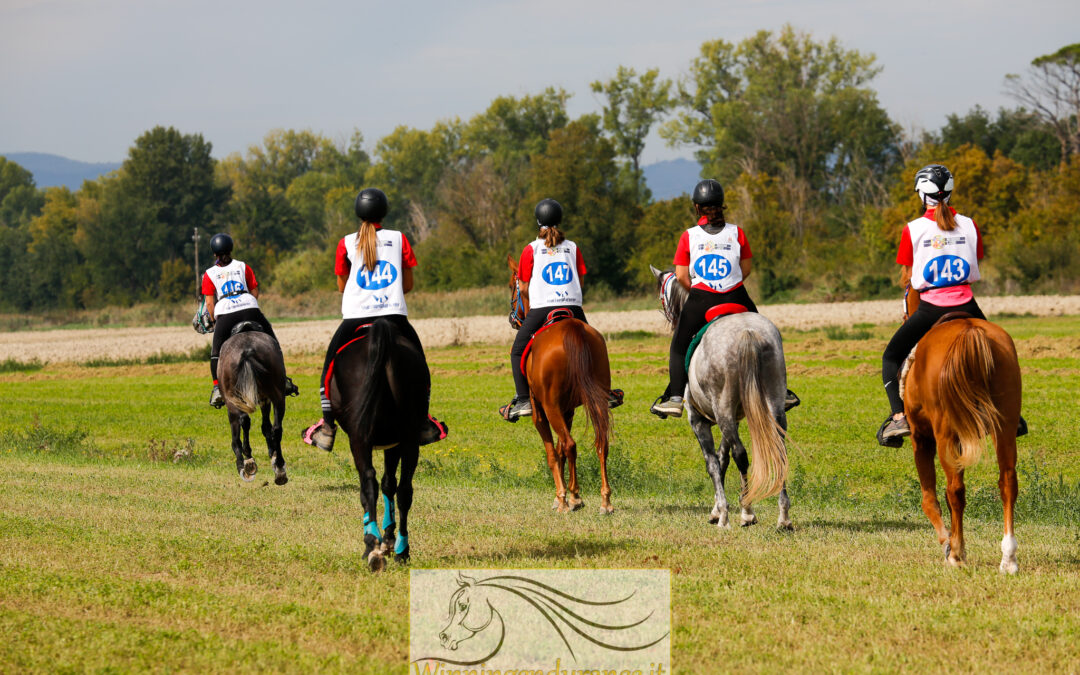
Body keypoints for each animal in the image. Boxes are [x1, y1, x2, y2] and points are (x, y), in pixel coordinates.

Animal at [216, 326, 287, 483]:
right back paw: (279, 468)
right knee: (277, 428)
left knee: (244, 421)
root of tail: (246, 351)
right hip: (278, 397)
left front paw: (242, 463)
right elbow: (266, 427)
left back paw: (247, 461)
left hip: (233, 400)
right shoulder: (265, 400)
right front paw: (272, 453)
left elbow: (236, 437)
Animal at [328, 315, 429, 570]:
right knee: (404, 490)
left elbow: (377, 485)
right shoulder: (394, 443)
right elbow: (389, 484)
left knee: (368, 483)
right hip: (409, 436)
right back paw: (403, 550)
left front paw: (382, 540)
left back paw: (370, 546)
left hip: (359, 438)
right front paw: (390, 538)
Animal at [507, 254, 613, 514]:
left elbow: (552, 453)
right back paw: (605, 501)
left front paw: (563, 497)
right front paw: (572, 496)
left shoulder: (541, 412)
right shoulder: (568, 410)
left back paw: (568, 500)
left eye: (512, 285)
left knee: (570, 444)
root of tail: (572, 329)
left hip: (551, 407)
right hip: (595, 401)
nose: (512, 319)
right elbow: (561, 451)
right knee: (600, 443)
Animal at [648, 265, 794, 529]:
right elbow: (723, 458)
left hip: (723, 407)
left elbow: (713, 463)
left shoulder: (698, 420)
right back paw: (784, 518)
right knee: (778, 451)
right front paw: (719, 508)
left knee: (741, 455)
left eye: (662, 297)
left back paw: (747, 512)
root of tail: (747, 332)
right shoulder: (733, 418)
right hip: (772, 404)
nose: (669, 317)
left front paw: (721, 513)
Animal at [902, 287, 1019, 570]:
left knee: (955, 489)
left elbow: (930, 498)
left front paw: (949, 544)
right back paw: (1008, 557)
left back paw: (955, 554)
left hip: (945, 434)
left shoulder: (921, 438)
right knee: (1008, 482)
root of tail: (969, 330)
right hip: (1005, 427)